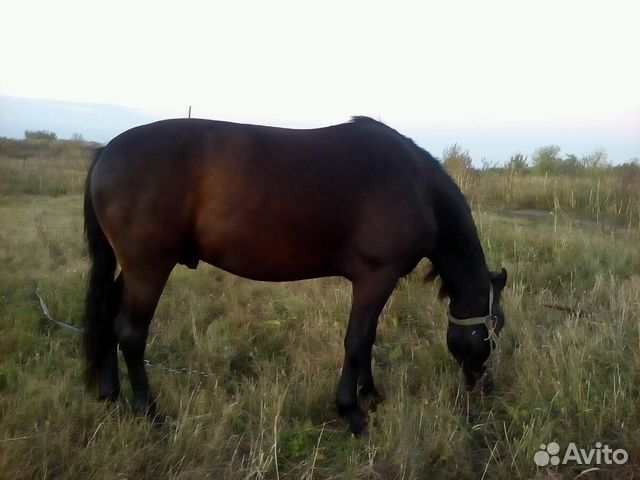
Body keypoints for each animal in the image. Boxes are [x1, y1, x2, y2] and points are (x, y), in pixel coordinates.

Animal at [82, 117, 508, 436]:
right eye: (496, 328)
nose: (482, 387)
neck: (416, 184)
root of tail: (108, 150)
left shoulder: (377, 285)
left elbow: (368, 340)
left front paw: (370, 394)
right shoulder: (375, 278)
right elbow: (357, 340)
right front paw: (352, 412)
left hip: (132, 270)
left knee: (109, 318)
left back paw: (110, 394)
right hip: (148, 269)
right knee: (131, 334)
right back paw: (149, 412)